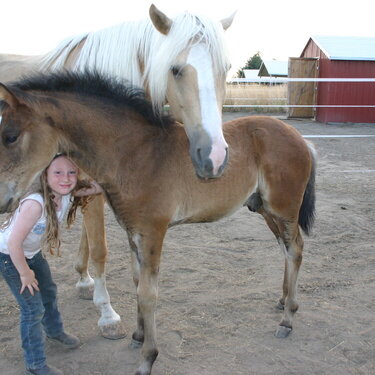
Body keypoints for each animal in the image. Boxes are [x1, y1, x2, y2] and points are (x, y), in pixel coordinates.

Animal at [0, 5, 235, 340]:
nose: (214, 157)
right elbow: (100, 249)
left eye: (226, 68)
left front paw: (89, 283)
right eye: (175, 69)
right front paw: (107, 314)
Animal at [0, 72, 318, 375]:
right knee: (285, 248)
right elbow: (137, 281)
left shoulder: (153, 232)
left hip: (283, 208)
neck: (135, 153)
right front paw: (138, 335)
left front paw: (147, 359)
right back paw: (283, 300)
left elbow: (147, 293)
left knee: (295, 249)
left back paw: (287, 319)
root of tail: (300, 138)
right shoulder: (133, 232)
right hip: (264, 209)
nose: (3, 200)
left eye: (11, 136)